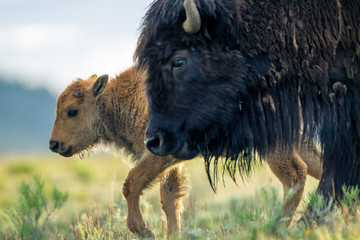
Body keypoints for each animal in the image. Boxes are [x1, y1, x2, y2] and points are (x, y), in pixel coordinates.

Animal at [49, 65, 322, 236]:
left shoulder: (159, 156)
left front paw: (143, 230)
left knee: (295, 175)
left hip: (276, 145)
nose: (53, 144)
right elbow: (169, 198)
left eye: (72, 111)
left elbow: (132, 183)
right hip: (300, 140)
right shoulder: (170, 163)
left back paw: (279, 226)